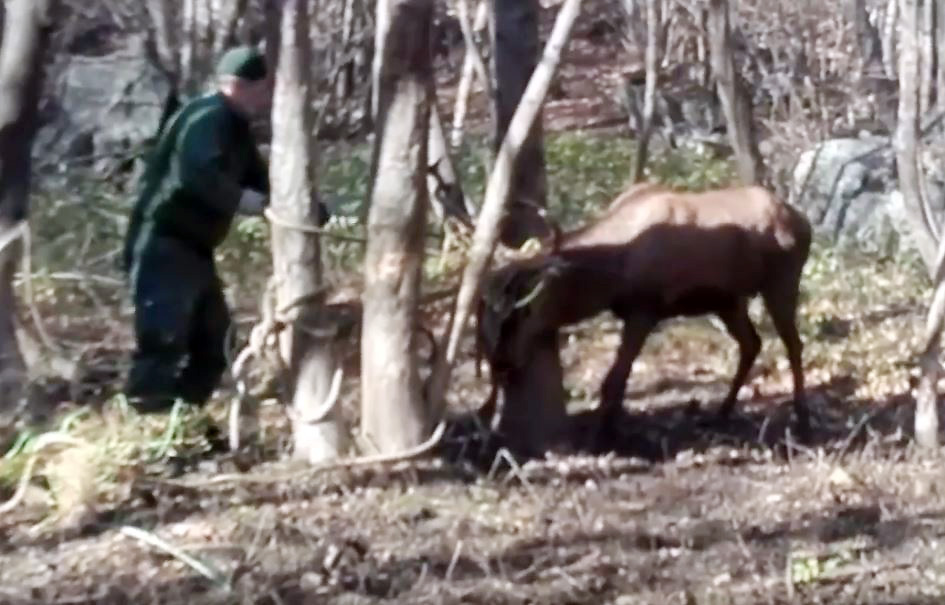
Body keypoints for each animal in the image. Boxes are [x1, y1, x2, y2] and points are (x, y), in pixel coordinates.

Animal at [476, 179, 816, 438]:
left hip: (781, 282)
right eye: (490, 312)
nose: (501, 363)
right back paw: (721, 412)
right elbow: (618, 379)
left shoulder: (644, 309)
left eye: (525, 308)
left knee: (793, 343)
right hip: (728, 301)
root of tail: (805, 223)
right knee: (752, 344)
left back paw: (802, 417)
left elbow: (613, 380)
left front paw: (604, 435)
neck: (609, 277)